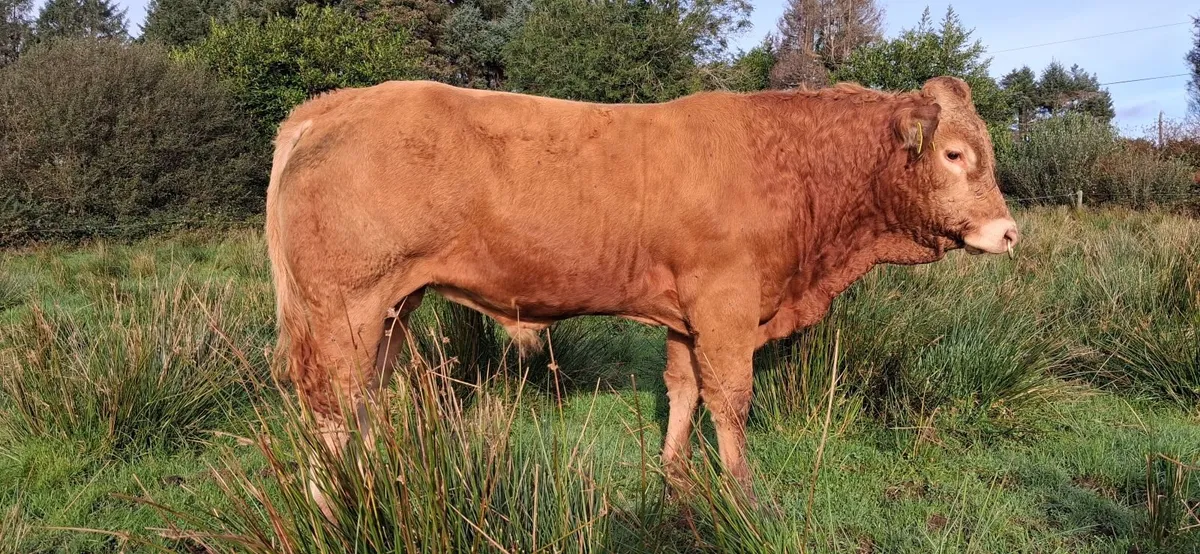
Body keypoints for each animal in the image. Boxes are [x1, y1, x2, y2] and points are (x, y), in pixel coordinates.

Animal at [265, 76, 1019, 504]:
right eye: (954, 153)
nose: (1008, 233)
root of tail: (336, 104)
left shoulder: (688, 314)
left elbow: (684, 390)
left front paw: (676, 477)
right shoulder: (725, 305)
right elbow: (732, 401)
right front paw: (746, 498)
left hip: (393, 306)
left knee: (363, 400)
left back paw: (373, 484)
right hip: (344, 306)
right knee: (333, 408)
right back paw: (335, 505)